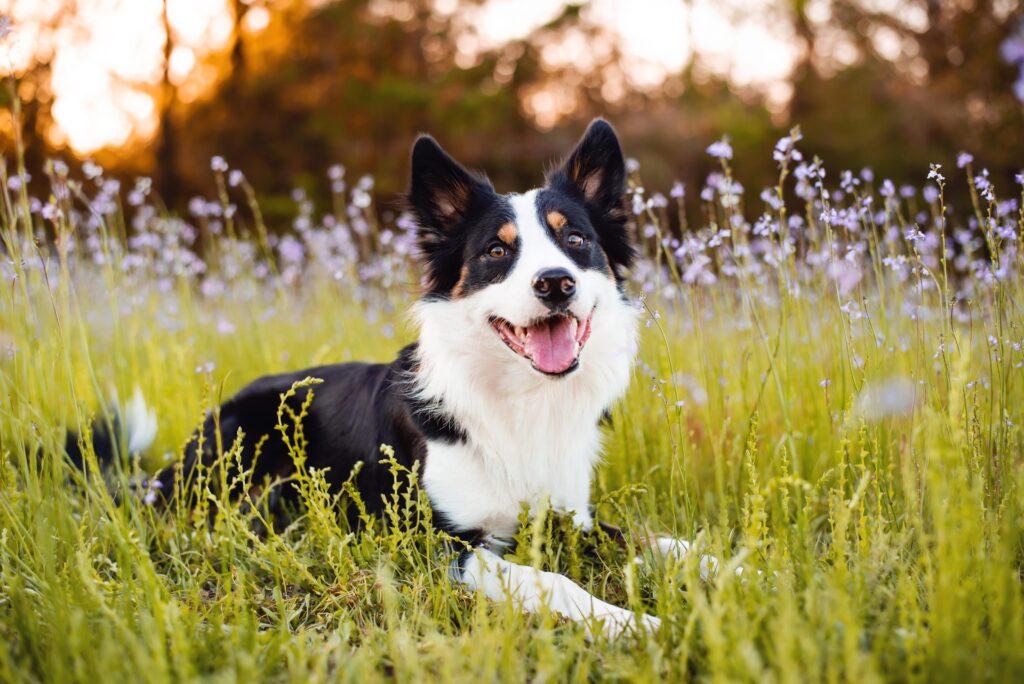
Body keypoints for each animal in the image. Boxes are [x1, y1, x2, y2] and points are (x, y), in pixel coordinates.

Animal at [68, 120, 712, 638]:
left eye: (575, 240)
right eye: (496, 251)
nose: (556, 282)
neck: (518, 401)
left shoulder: (571, 518)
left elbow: (656, 540)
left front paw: (727, 566)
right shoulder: (442, 545)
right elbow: (554, 580)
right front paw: (636, 623)